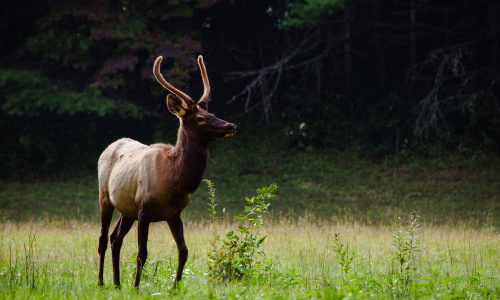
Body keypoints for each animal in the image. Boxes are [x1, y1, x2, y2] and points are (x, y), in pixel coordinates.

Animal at [98, 54, 238, 288]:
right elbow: (142, 253)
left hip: (127, 209)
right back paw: (101, 282)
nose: (231, 126)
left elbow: (184, 251)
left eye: (211, 112)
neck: (174, 180)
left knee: (115, 239)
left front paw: (176, 287)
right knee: (102, 238)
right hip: (105, 197)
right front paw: (136, 287)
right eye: (200, 118)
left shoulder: (175, 214)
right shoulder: (144, 209)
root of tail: (108, 147)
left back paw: (117, 283)